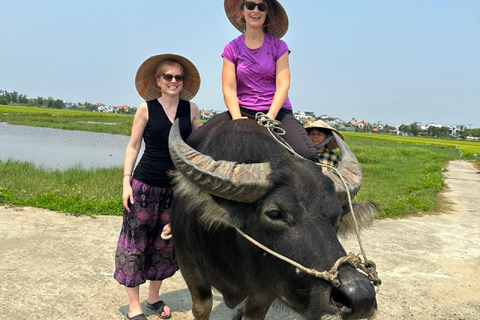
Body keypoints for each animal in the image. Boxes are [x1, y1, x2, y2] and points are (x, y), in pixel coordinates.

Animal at [169, 119, 378, 318]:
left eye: (336, 216)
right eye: (275, 214)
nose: (361, 296)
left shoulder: (266, 285)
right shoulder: (186, 262)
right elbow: (202, 307)